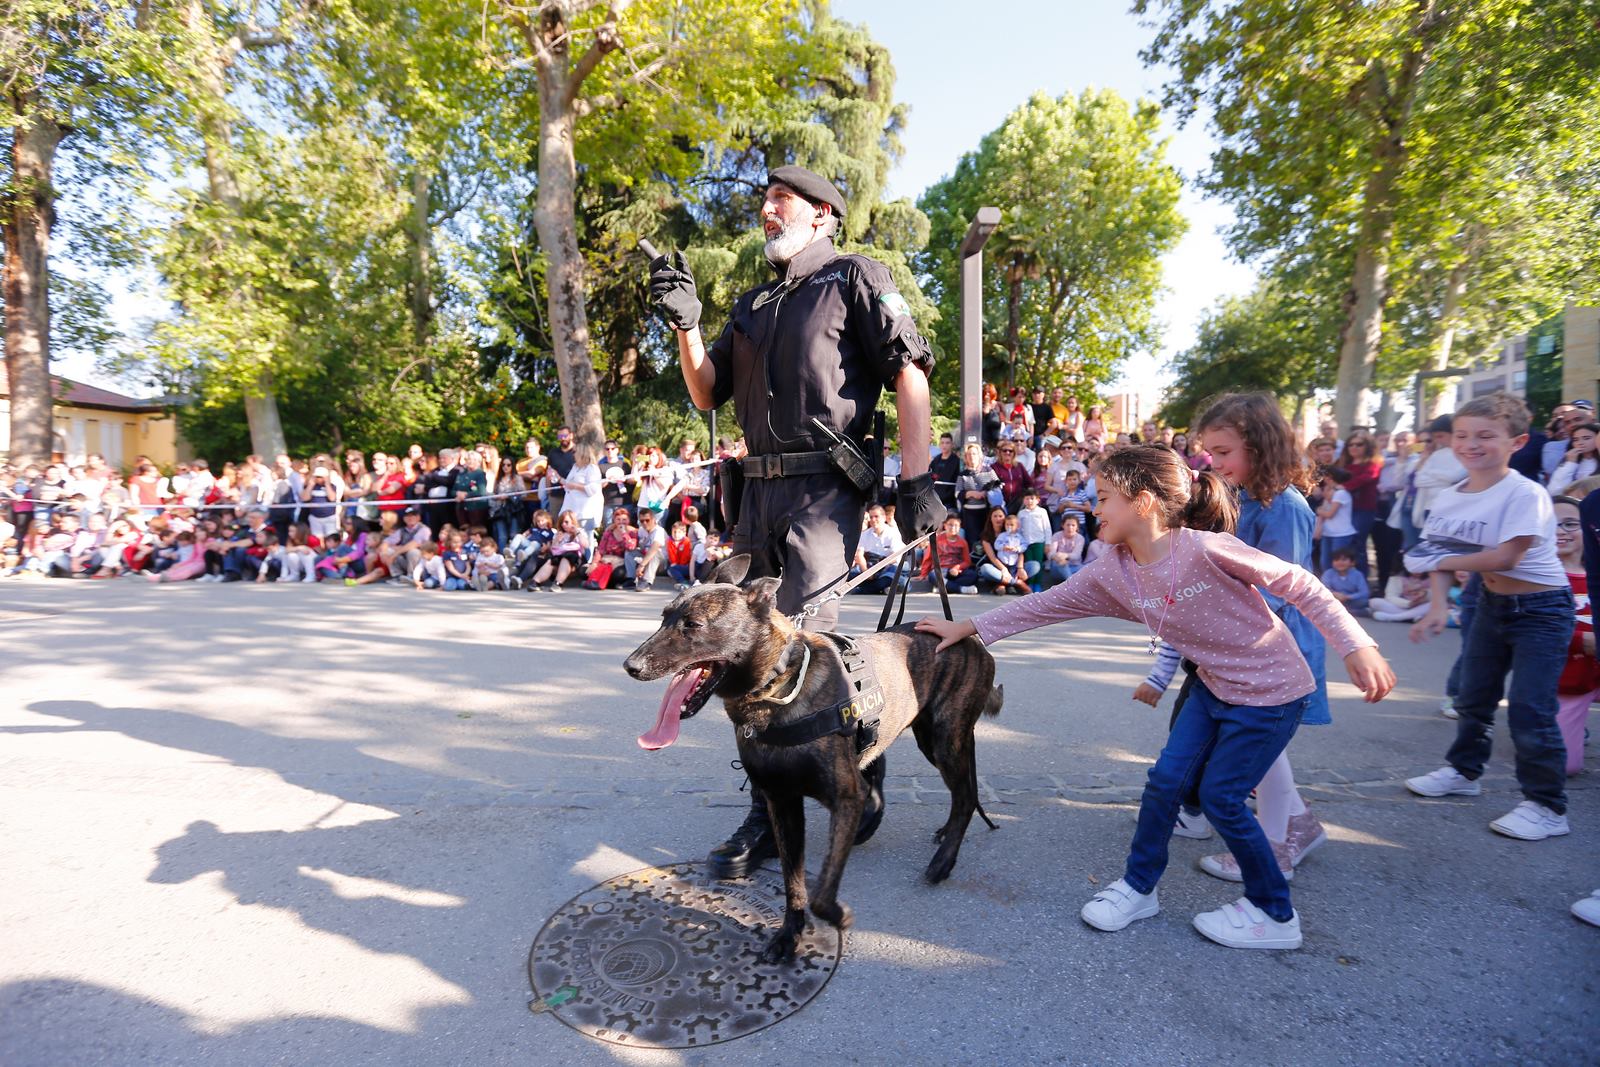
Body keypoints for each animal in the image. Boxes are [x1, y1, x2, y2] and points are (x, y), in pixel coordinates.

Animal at [620, 556, 998, 966]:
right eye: (664, 618)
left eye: (693, 625)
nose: (631, 666)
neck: (778, 687)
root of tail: (971, 638)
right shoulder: (782, 802)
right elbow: (794, 883)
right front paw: (789, 936)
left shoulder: (846, 799)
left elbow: (820, 891)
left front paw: (835, 915)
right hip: (932, 738)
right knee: (959, 788)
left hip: (944, 741)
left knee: (963, 796)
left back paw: (944, 860)